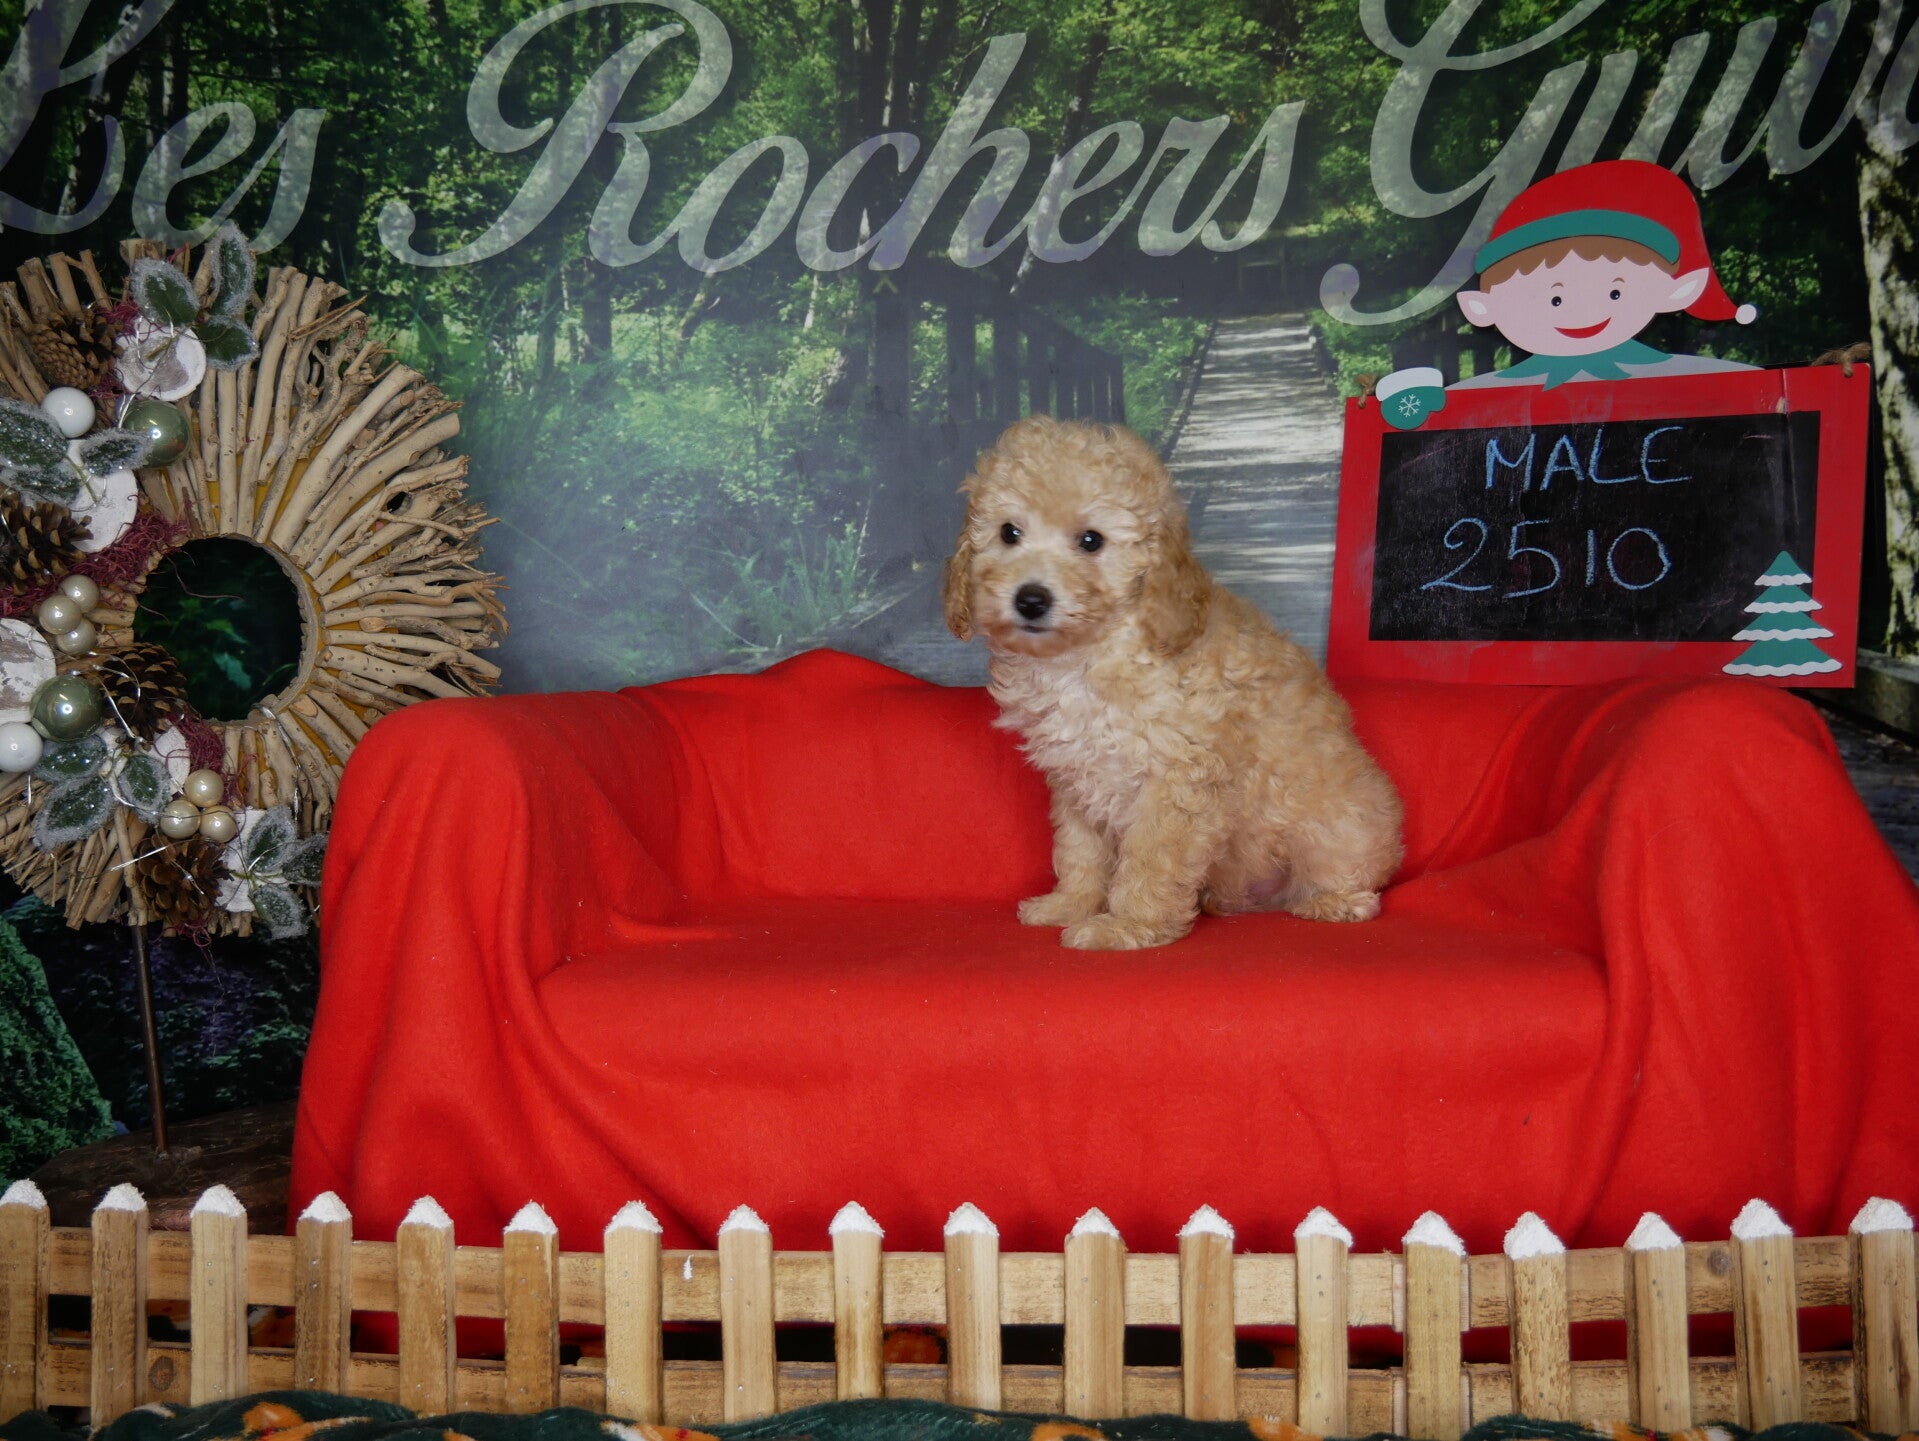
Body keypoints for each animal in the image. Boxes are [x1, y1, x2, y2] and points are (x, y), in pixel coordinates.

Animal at [944, 415, 1404, 950]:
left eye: (1091, 541)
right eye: (1009, 533)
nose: (1031, 599)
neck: (1091, 653)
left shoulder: (1176, 779)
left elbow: (1150, 859)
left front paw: (1128, 925)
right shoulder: (1077, 777)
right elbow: (1080, 851)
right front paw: (1070, 904)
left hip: (1340, 824)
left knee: (1351, 872)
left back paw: (1332, 901)